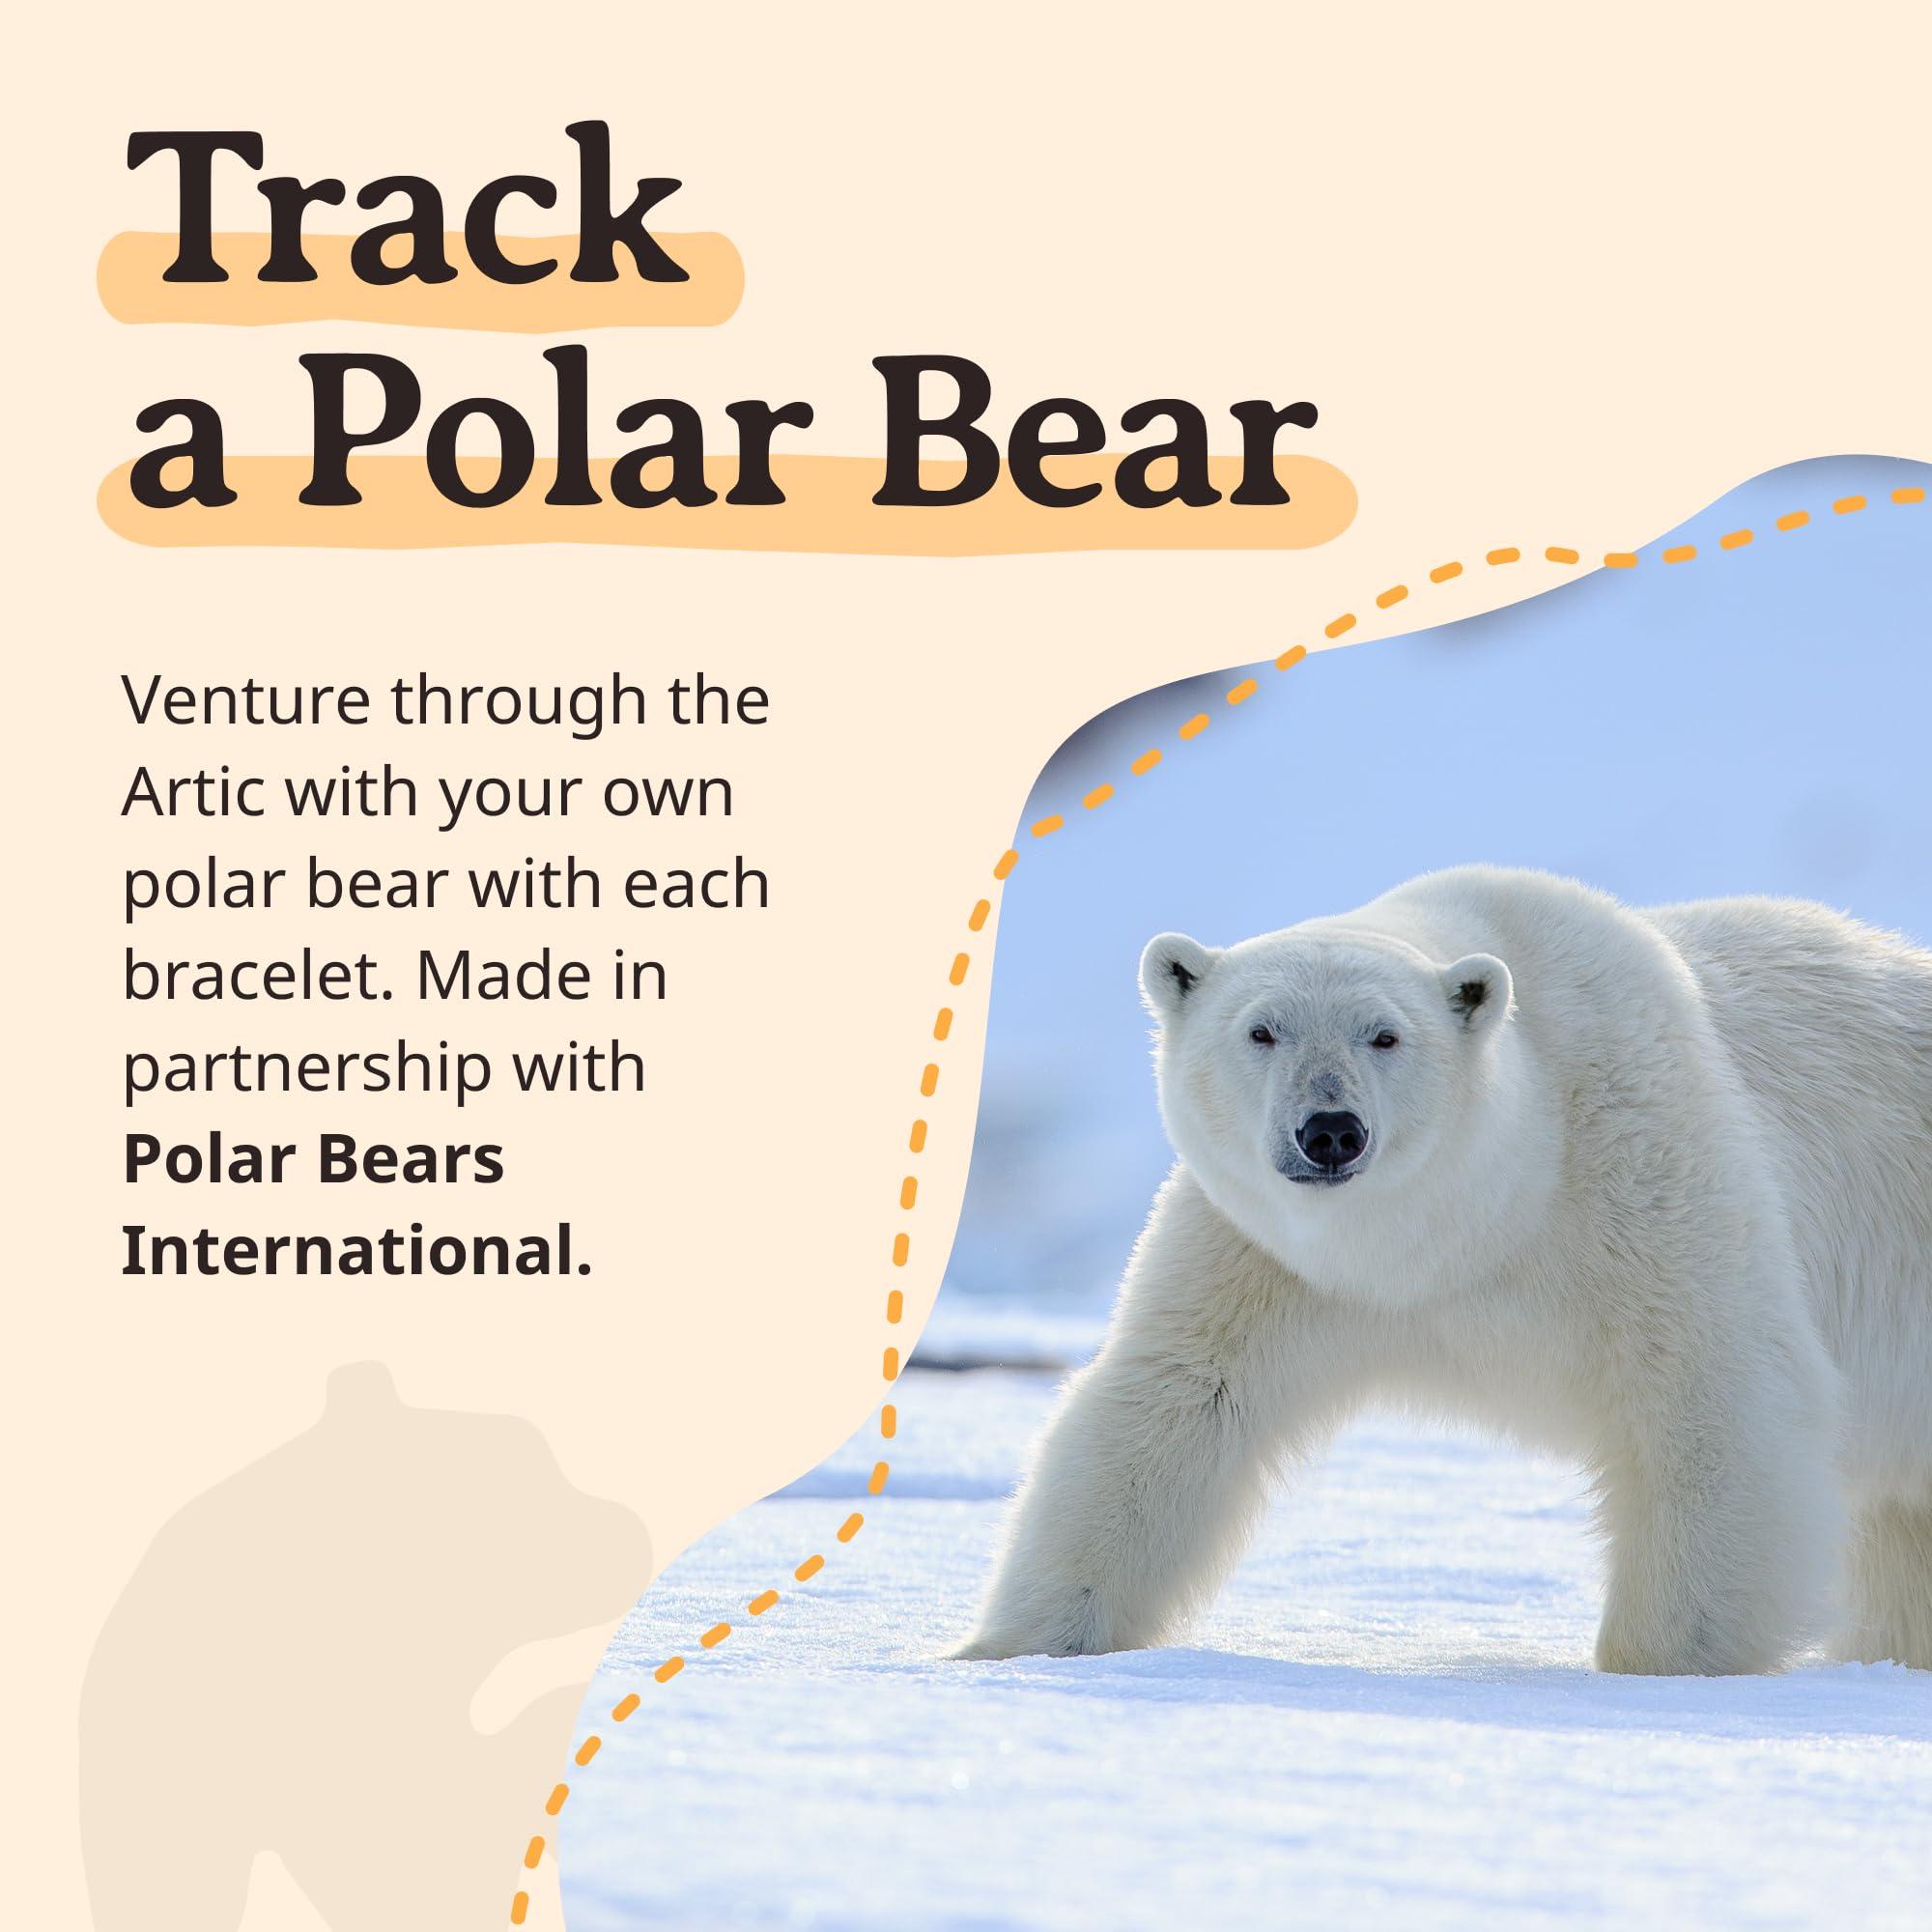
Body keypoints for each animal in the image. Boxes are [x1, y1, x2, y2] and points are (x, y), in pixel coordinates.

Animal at [955, 866, 1932, 1675]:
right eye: (1261, 1030)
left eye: (1385, 1035)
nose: (1331, 1130)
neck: (1474, 1223)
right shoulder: (1272, 1255)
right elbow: (1177, 1401)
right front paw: (1010, 1648)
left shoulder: (1650, 1174)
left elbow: (1712, 1394)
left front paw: (1661, 1667)